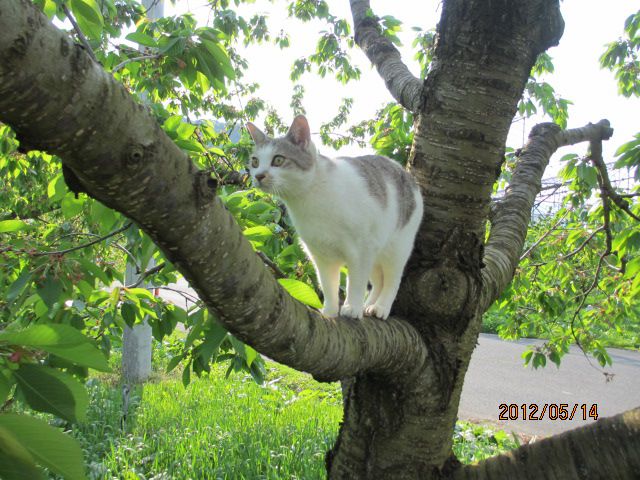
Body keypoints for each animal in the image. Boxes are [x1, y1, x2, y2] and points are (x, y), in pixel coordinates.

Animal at [248, 115, 422, 318]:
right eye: (254, 162)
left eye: (278, 160)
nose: (259, 175)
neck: (310, 198)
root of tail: (404, 172)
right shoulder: (321, 255)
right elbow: (327, 285)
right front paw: (330, 311)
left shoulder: (361, 250)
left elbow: (356, 283)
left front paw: (352, 307)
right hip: (376, 251)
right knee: (379, 281)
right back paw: (368, 305)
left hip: (396, 248)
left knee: (392, 281)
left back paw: (380, 308)